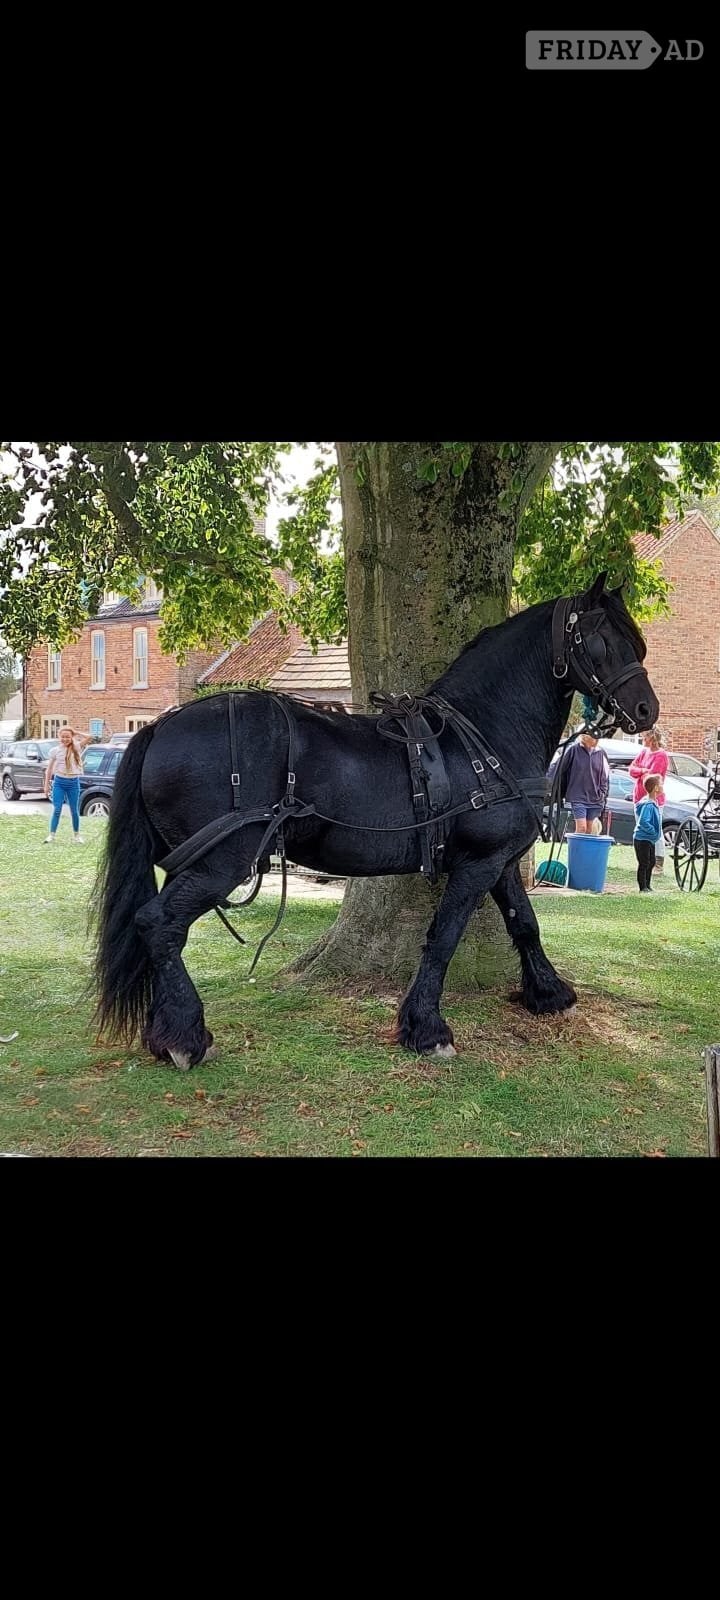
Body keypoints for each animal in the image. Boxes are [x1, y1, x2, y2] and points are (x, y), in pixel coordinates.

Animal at [90, 573, 659, 1069]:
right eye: (601, 641)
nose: (646, 710)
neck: (483, 735)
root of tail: (161, 727)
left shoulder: (497, 860)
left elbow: (525, 923)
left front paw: (549, 991)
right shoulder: (478, 863)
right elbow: (443, 936)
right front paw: (426, 1028)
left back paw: (163, 1030)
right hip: (222, 863)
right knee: (158, 923)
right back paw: (184, 1036)